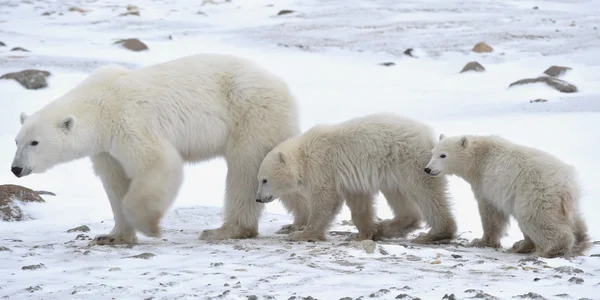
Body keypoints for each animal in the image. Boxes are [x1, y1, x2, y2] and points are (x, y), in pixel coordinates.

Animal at [12, 53, 304, 244]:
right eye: (16, 141)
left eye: (34, 142)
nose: (16, 168)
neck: (99, 104)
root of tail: (283, 87)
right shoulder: (106, 148)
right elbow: (115, 182)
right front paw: (112, 236)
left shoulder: (128, 122)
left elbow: (158, 164)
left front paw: (149, 226)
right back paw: (297, 222)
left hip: (250, 115)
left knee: (244, 170)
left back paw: (226, 229)